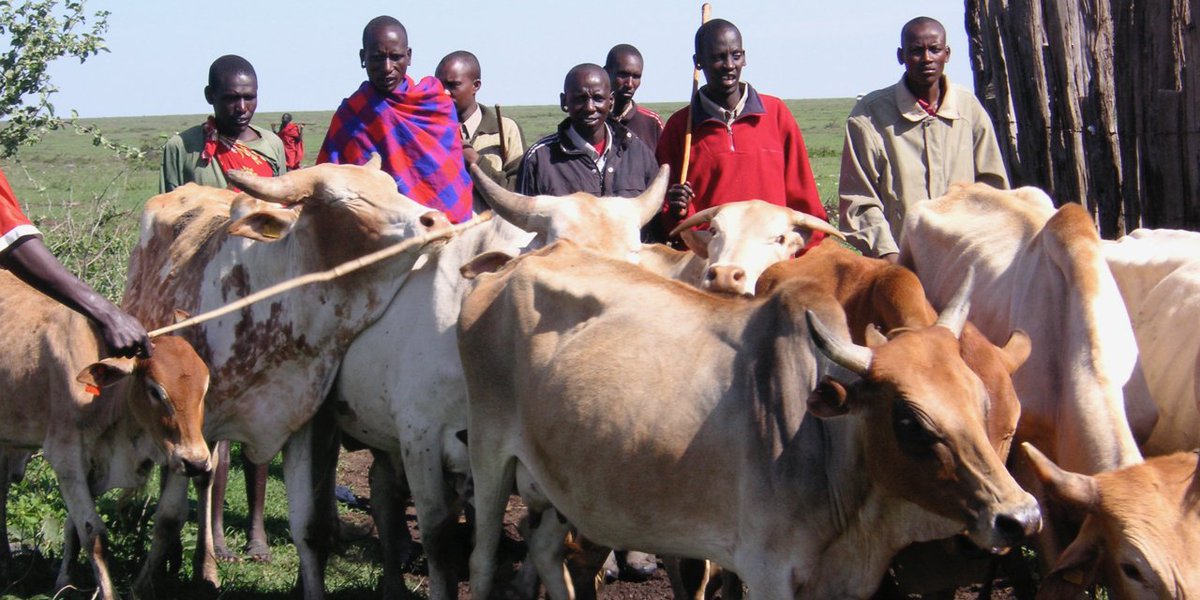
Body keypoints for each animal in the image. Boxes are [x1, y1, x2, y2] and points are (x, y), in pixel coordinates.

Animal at [0, 271, 211, 600]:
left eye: (205, 388)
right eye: (156, 391)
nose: (197, 462)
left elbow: (75, 527)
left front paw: (65, 583)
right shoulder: (67, 458)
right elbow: (92, 532)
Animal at [120, 157, 450, 599]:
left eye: (391, 186)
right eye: (345, 200)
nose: (437, 220)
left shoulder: (300, 428)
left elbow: (307, 528)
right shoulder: (189, 422)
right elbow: (171, 514)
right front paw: (143, 583)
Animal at [460, 240, 1040, 600]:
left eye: (983, 404)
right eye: (910, 421)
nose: (1022, 517)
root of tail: (511, 266)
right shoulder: (767, 572)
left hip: (564, 481)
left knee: (543, 548)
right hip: (489, 457)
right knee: (483, 563)